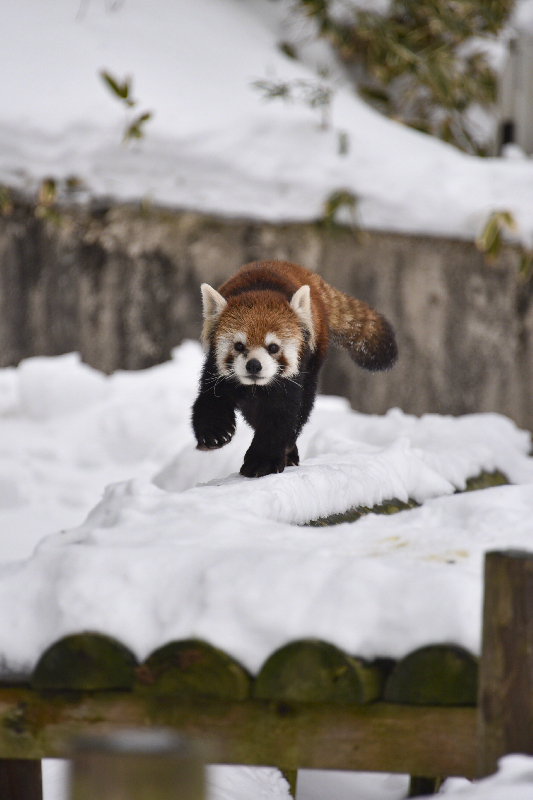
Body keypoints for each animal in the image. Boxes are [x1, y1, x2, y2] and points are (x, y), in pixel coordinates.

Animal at [191, 260, 394, 478]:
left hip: (313, 361)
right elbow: (210, 400)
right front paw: (215, 435)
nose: (254, 365)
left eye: (273, 347)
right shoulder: (215, 371)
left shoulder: (293, 377)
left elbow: (280, 417)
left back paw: (289, 451)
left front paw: (261, 462)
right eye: (239, 346)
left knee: (302, 409)